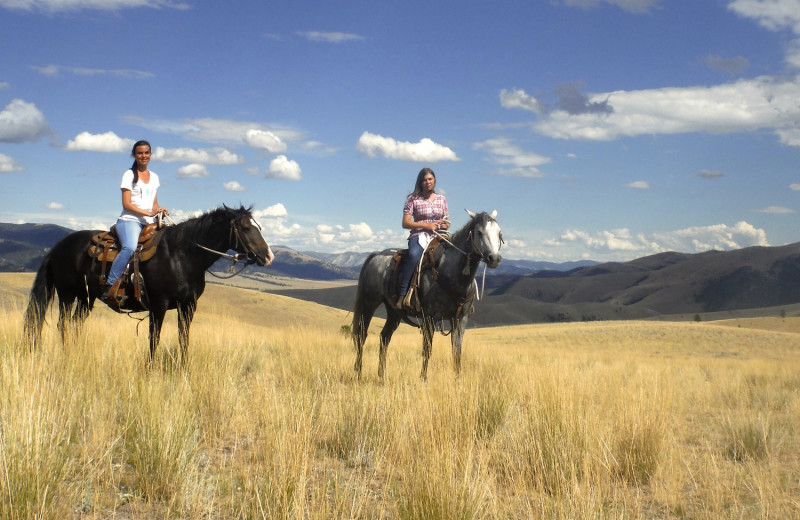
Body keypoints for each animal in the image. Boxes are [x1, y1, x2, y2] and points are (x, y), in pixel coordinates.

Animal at [23, 204, 274, 362]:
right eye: (245, 228)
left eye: (259, 226)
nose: (268, 256)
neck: (182, 256)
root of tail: (59, 245)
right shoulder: (158, 304)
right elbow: (154, 339)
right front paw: (149, 369)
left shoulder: (188, 305)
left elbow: (184, 338)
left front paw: (183, 368)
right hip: (67, 293)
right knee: (63, 324)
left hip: (86, 298)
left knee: (76, 323)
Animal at [350, 208, 500, 382]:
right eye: (479, 232)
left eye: (499, 233)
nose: (495, 258)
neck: (450, 273)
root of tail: (376, 255)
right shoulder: (430, 317)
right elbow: (427, 349)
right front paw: (423, 379)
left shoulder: (461, 319)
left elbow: (457, 351)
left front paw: (458, 380)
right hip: (369, 303)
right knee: (361, 335)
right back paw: (358, 373)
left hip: (394, 311)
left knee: (384, 337)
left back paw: (382, 375)